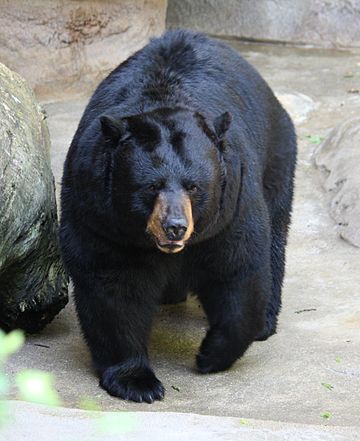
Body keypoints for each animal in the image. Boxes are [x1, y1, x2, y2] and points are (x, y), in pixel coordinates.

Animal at [59, 28, 296, 402]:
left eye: (193, 186)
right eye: (151, 187)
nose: (175, 227)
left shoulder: (230, 208)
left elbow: (238, 270)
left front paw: (210, 355)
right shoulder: (101, 219)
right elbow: (113, 287)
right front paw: (137, 382)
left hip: (276, 155)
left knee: (275, 234)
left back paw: (266, 323)